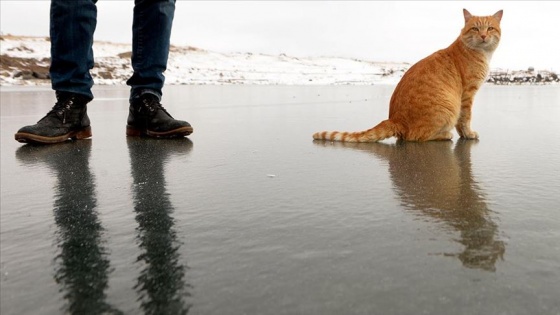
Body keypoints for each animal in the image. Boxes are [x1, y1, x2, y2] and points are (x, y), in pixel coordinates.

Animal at [316, 8, 504, 142]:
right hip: (449, 107)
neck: (482, 54)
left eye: (490, 28)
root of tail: (394, 119)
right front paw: (468, 134)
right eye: (475, 28)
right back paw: (444, 135)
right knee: (415, 137)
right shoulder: (467, 95)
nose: (483, 35)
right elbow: (465, 119)